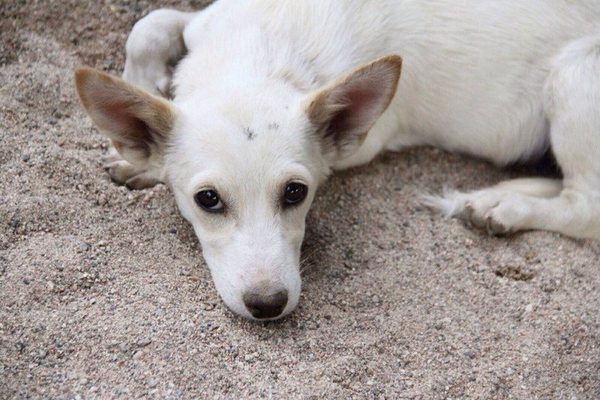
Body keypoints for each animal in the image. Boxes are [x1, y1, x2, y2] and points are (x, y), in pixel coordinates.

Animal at [75, 0, 600, 318]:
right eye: (207, 199)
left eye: (296, 192)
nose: (268, 304)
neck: (268, 50)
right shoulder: (203, 20)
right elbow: (149, 26)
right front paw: (136, 137)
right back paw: (491, 196)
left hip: (572, 80)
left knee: (586, 206)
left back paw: (504, 207)